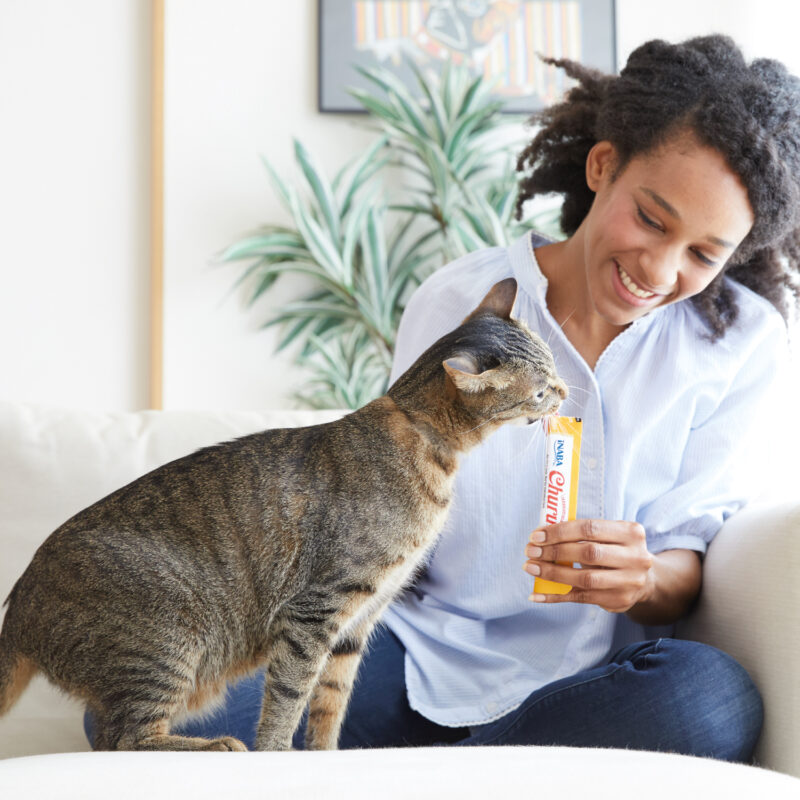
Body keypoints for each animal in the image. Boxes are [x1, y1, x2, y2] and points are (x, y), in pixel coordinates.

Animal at [0, 277, 566, 752]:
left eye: (555, 367)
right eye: (540, 389)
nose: (564, 391)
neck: (423, 438)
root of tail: (17, 605)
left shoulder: (360, 619)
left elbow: (330, 702)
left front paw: (323, 756)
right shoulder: (316, 609)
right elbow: (289, 696)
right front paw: (274, 753)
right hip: (169, 638)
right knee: (124, 740)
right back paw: (215, 746)